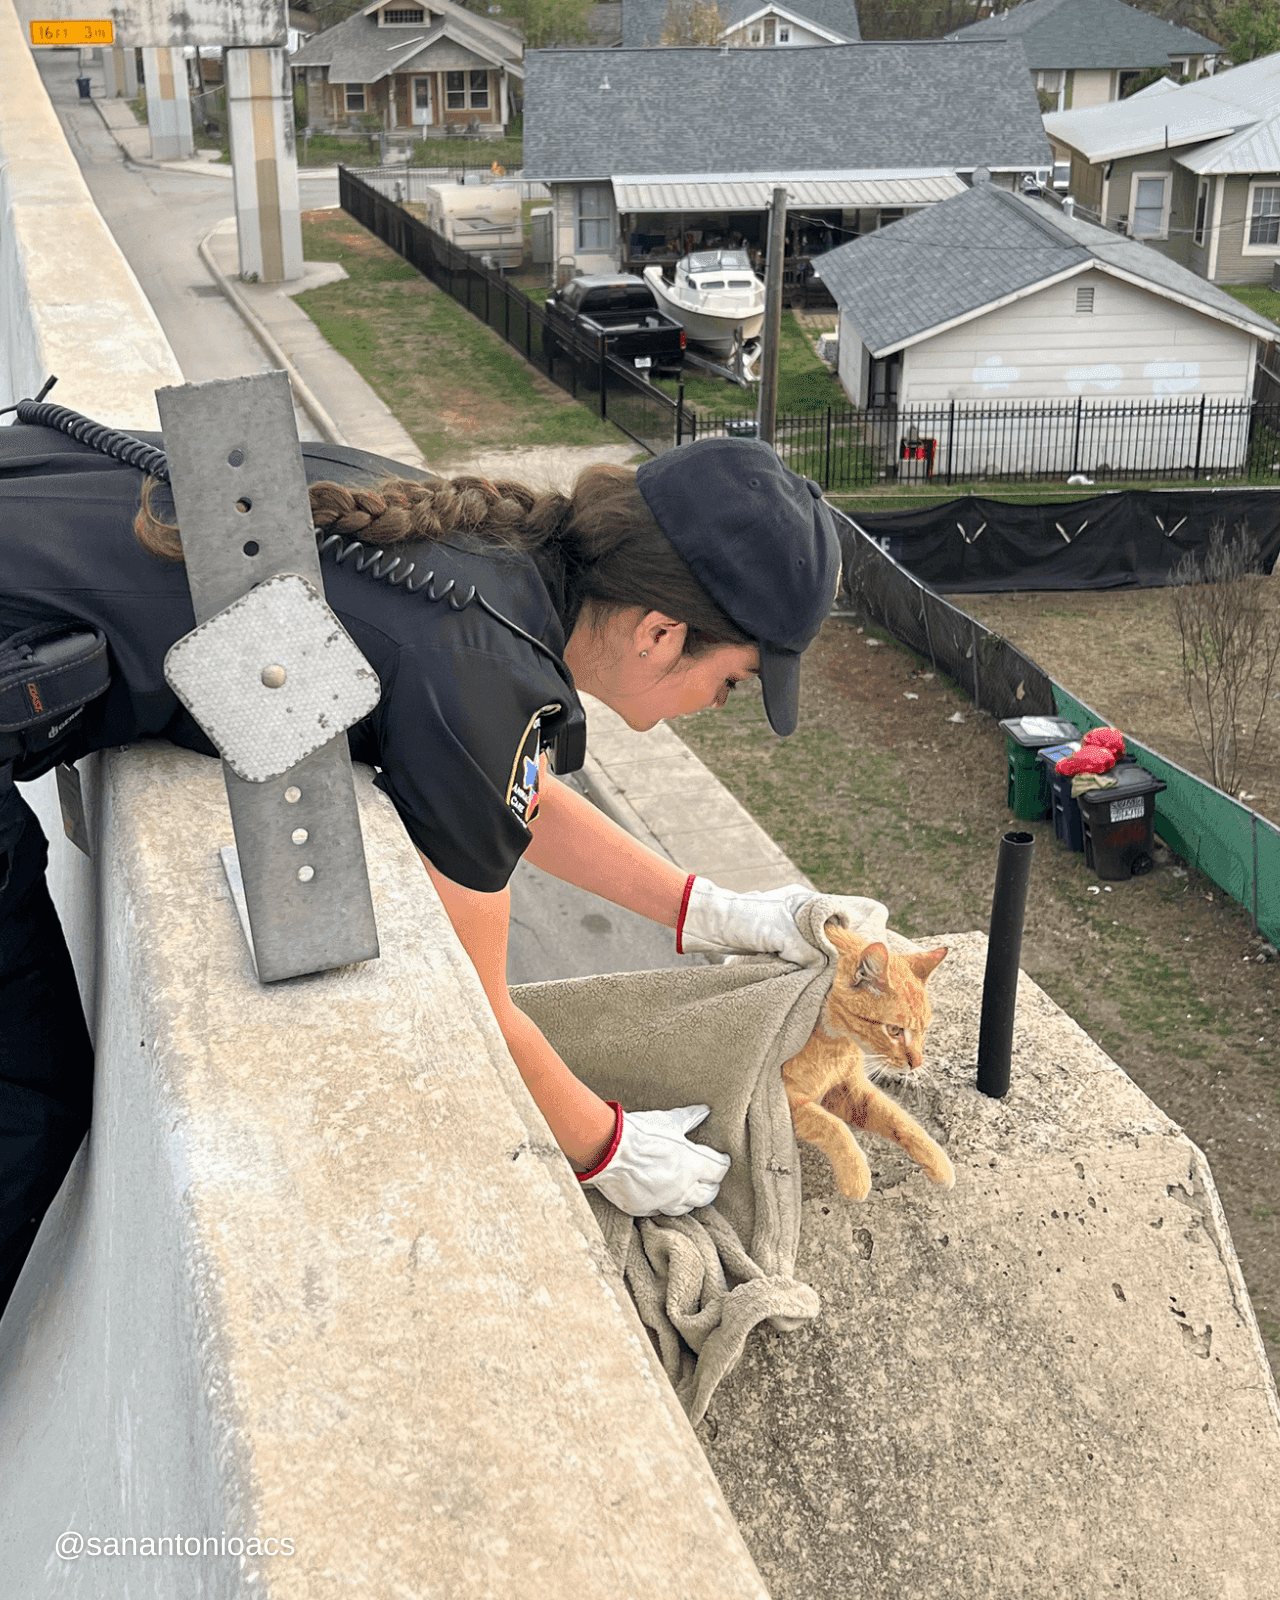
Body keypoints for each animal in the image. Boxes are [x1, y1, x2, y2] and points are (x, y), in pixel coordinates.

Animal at [780, 928, 947, 1203]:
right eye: (894, 1031)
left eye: (924, 1030)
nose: (917, 1063)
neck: (835, 1045)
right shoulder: (786, 1097)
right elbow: (831, 1125)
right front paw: (856, 1176)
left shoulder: (846, 1089)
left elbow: (897, 1116)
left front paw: (936, 1158)